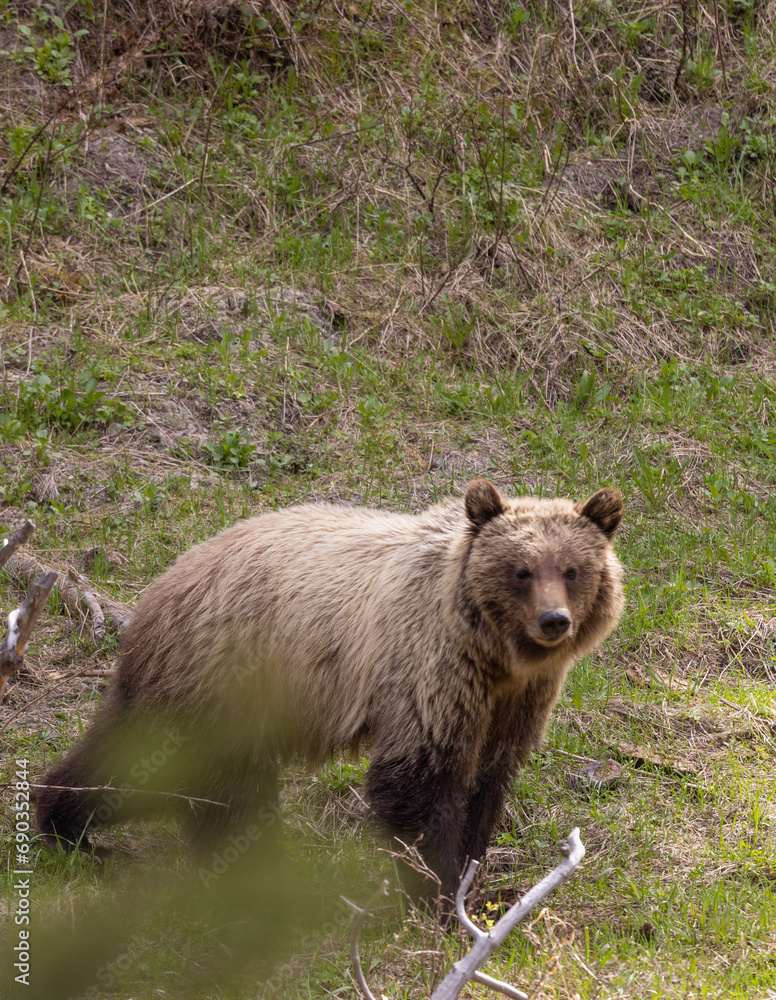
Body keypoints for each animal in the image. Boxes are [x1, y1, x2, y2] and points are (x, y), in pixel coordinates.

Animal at [38, 480, 624, 904]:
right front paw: (436, 892)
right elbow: (419, 780)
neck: (495, 653)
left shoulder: (515, 700)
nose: (554, 620)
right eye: (521, 570)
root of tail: (156, 593)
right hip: (221, 680)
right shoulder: (430, 669)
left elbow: (488, 781)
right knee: (196, 785)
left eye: (572, 569)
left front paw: (473, 882)